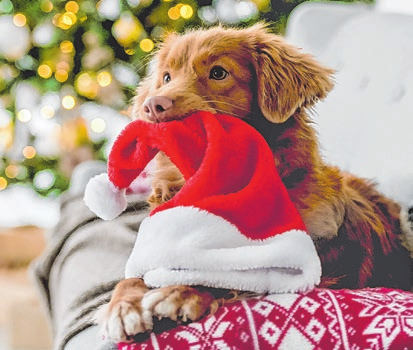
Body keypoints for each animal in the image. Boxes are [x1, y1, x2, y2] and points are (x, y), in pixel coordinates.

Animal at [96, 23, 408, 340]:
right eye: (167, 77)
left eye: (218, 73)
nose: (153, 105)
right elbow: (130, 278)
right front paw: (123, 306)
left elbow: (233, 274)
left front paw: (180, 293)